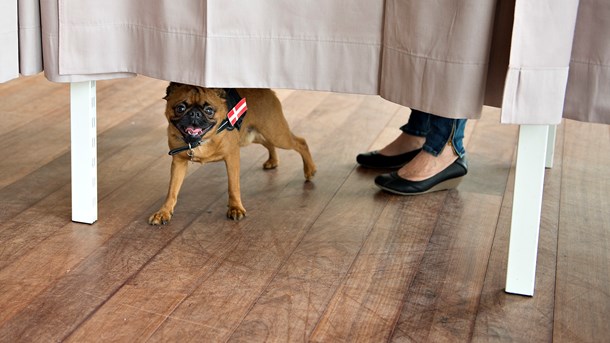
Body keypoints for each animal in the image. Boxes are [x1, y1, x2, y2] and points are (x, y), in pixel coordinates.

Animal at [149, 82, 316, 224]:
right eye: (180, 108)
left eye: (209, 110)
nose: (195, 114)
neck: (200, 141)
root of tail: (266, 90)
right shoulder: (179, 162)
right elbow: (172, 190)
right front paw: (164, 212)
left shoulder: (232, 157)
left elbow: (233, 185)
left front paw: (235, 208)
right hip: (252, 135)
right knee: (269, 143)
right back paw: (273, 161)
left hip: (276, 134)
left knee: (300, 142)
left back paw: (309, 170)